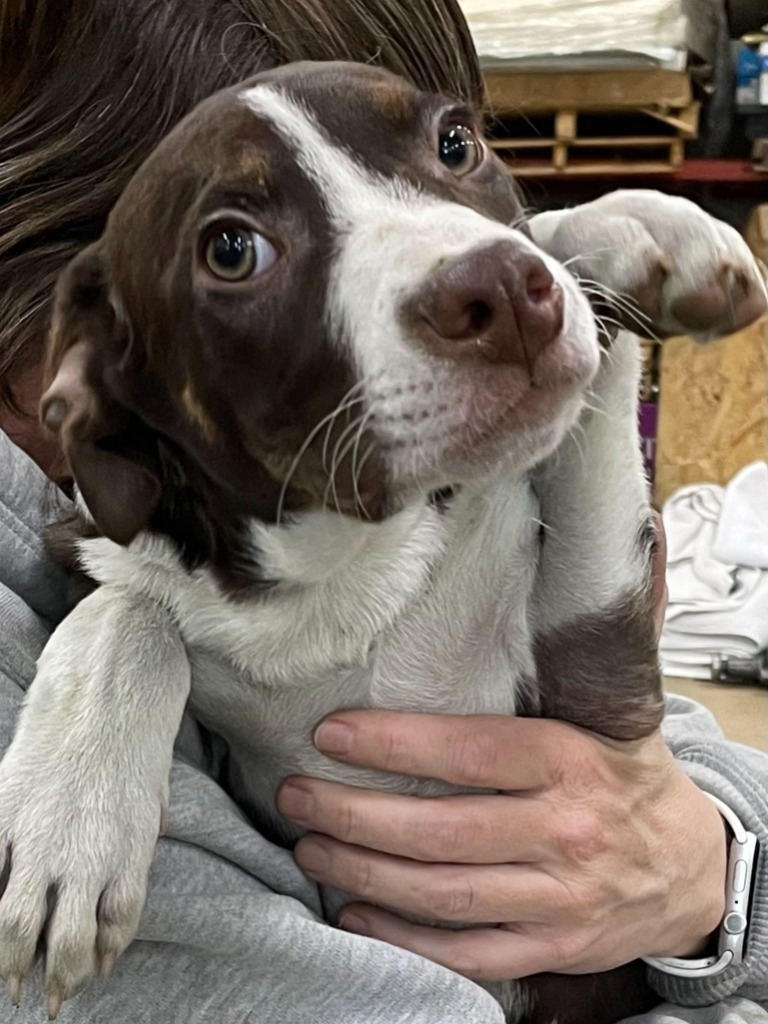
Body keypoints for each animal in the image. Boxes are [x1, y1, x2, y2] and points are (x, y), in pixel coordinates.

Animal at [0, 59, 765, 1019]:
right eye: (232, 250)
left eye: (456, 143)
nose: (504, 291)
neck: (345, 565)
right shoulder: (99, 539)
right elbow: (126, 607)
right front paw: (70, 818)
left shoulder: (597, 655)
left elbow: (589, 361)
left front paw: (635, 227)